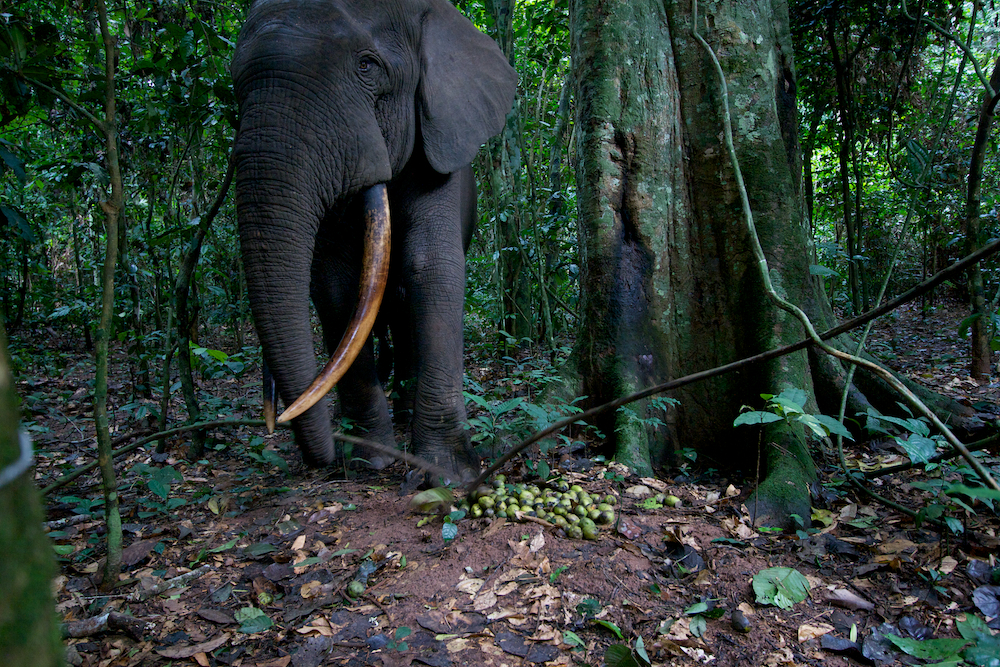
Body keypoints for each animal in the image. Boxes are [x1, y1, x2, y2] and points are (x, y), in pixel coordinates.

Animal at [231, 0, 520, 480]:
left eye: (368, 66)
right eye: (235, 81)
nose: (281, 419)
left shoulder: (438, 149)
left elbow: (431, 264)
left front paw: (448, 473)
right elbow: (336, 283)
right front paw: (370, 460)